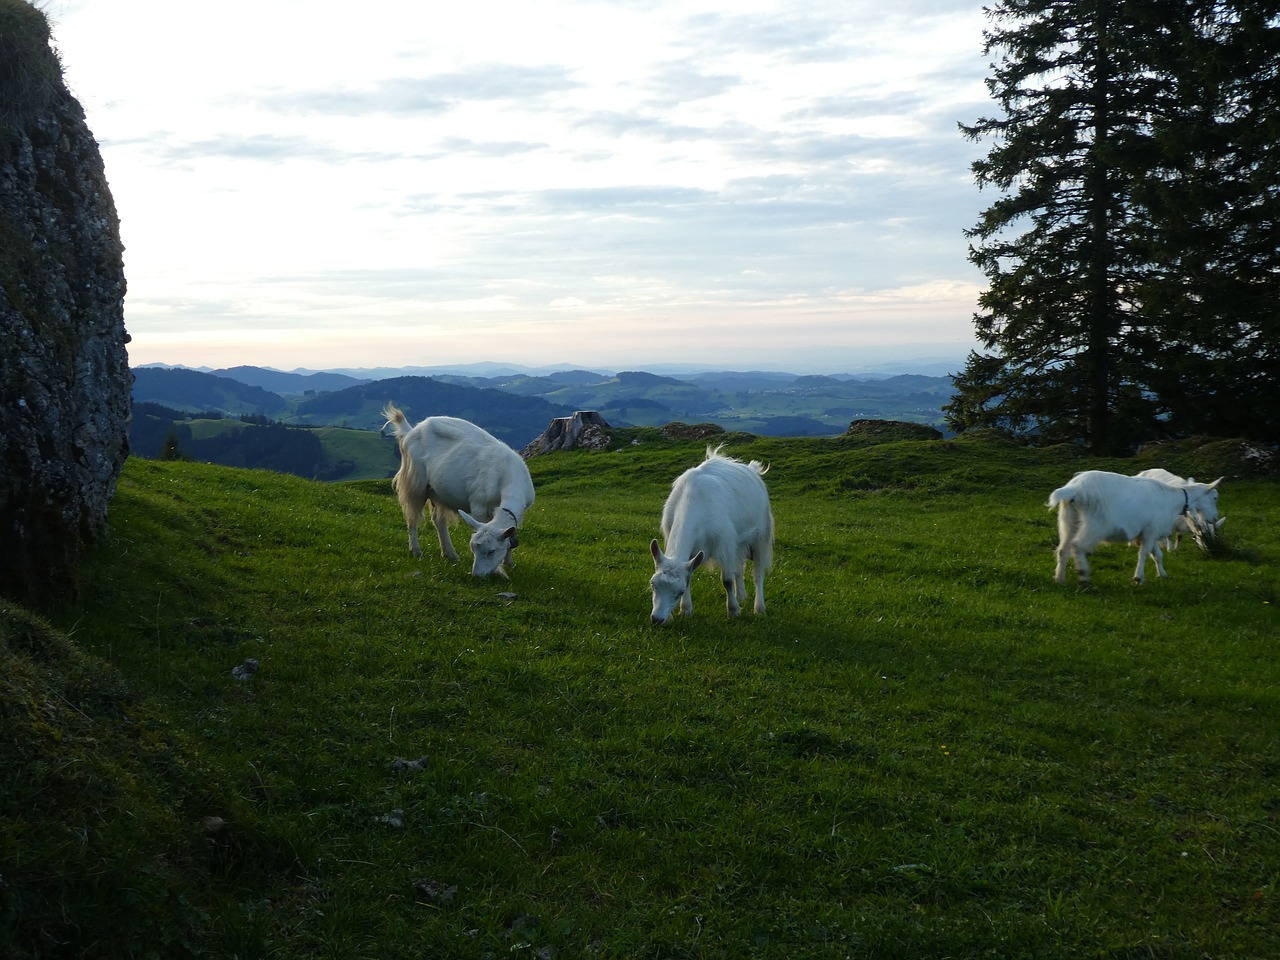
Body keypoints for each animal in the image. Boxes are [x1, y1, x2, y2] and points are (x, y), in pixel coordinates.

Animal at [384, 407, 535, 578]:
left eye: (491, 551)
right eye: (474, 549)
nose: (476, 574)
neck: (509, 476)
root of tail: (411, 430)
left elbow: (509, 539)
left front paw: (509, 563)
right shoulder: (479, 506)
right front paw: (500, 570)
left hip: (438, 491)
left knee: (438, 520)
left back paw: (450, 554)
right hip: (415, 482)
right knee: (412, 517)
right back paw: (416, 551)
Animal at [645, 450, 773, 627]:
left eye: (679, 592)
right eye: (653, 585)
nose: (657, 619)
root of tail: (752, 470)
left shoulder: (725, 544)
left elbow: (727, 580)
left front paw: (733, 611)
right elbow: (690, 576)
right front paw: (686, 610)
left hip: (761, 536)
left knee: (758, 574)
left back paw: (759, 608)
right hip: (739, 544)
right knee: (739, 567)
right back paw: (741, 596)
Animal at [1044, 468, 1223, 586]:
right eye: (1215, 497)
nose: (1214, 518)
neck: (1174, 499)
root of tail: (1072, 489)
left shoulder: (1149, 532)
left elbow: (1157, 554)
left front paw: (1163, 575)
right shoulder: (1151, 530)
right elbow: (1143, 553)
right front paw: (1139, 578)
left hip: (1069, 520)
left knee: (1063, 549)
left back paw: (1059, 579)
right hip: (1095, 525)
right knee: (1077, 545)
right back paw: (1083, 577)